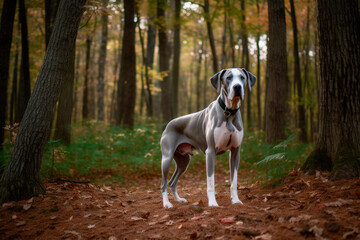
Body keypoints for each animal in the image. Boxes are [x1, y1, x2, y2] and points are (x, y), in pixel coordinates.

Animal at [160, 68, 256, 208]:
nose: (237, 87)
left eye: (242, 77)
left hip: (183, 161)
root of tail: (168, 125)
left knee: (172, 182)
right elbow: (210, 182)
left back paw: (179, 200)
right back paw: (167, 203)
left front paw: (235, 200)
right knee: (163, 183)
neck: (228, 112)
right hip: (166, 158)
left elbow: (234, 181)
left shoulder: (235, 151)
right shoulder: (210, 152)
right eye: (228, 77)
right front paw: (213, 203)